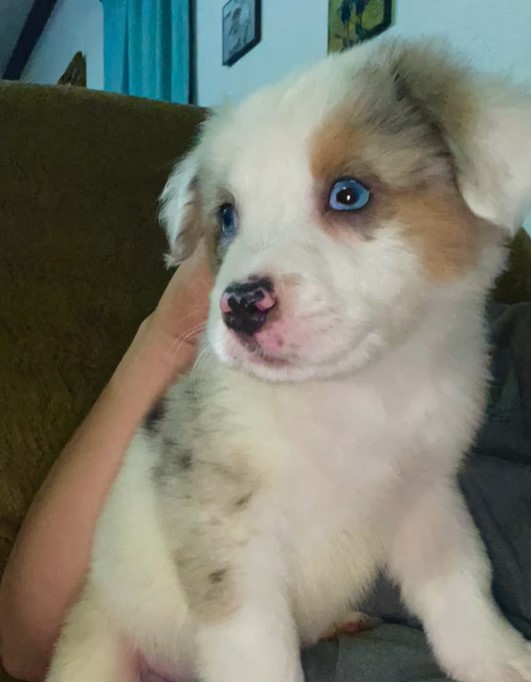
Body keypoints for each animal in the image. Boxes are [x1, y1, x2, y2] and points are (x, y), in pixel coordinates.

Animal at [45, 38, 531, 680]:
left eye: (349, 193)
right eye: (227, 216)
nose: (240, 306)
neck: (356, 394)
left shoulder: (427, 496)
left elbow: (462, 585)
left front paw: (502, 658)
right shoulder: (228, 539)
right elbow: (256, 652)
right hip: (98, 644)